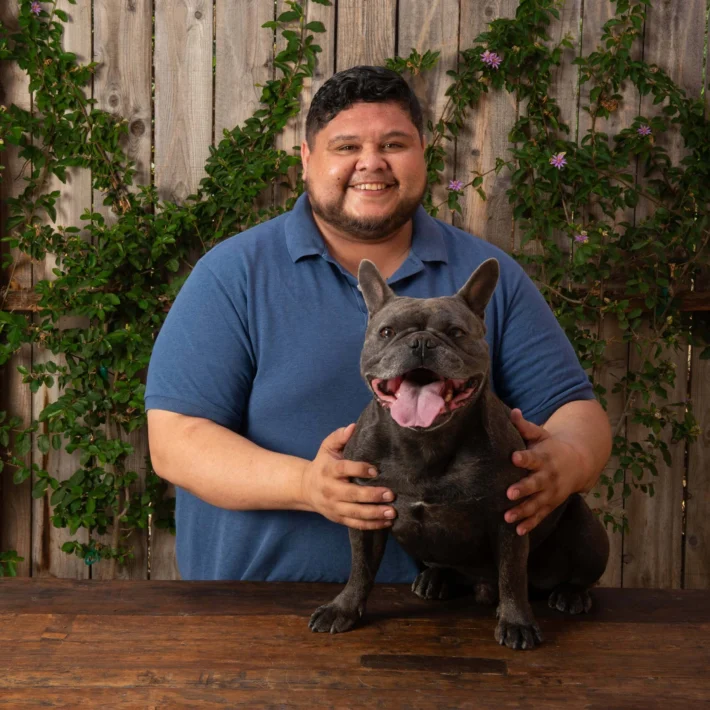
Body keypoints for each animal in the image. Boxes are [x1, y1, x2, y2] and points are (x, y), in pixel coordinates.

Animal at [308, 258, 610, 650]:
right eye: (387, 332)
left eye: (455, 332)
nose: (421, 342)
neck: (424, 441)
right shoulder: (366, 516)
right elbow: (361, 569)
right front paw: (342, 608)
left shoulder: (510, 518)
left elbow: (512, 576)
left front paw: (517, 621)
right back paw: (438, 579)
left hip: (586, 530)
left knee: (573, 574)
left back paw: (571, 594)